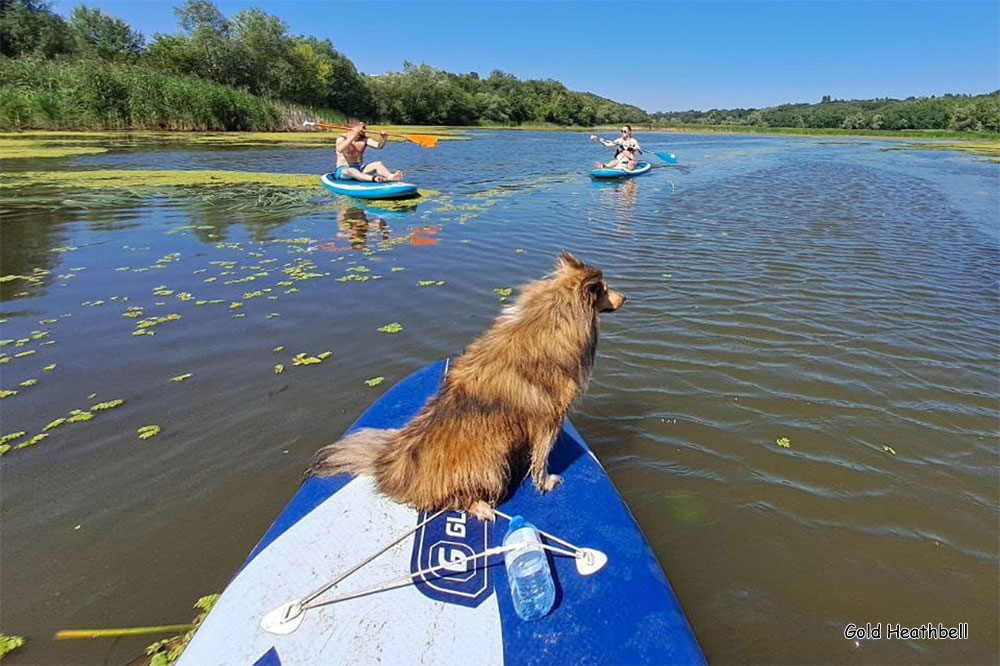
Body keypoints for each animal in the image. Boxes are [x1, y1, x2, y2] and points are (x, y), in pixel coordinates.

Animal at [304, 249, 620, 520]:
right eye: (604, 288)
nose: (625, 298)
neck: (553, 314)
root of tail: (389, 469)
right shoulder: (549, 419)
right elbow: (541, 460)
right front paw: (546, 483)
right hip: (492, 464)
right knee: (457, 499)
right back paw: (482, 508)